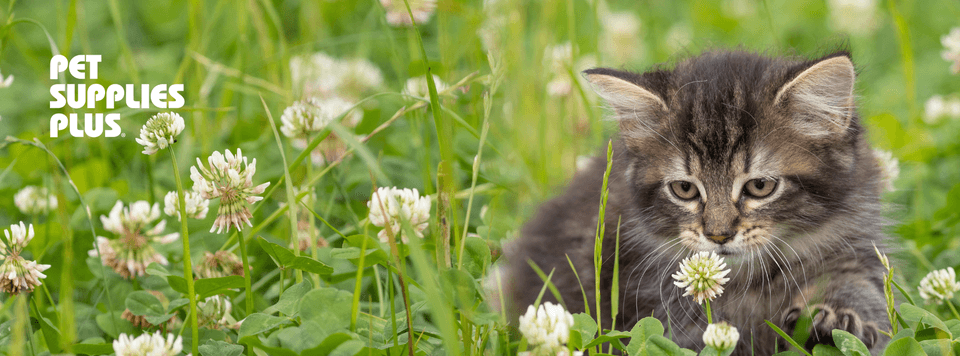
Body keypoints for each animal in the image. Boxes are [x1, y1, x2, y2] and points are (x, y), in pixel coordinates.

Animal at [502, 49, 892, 354]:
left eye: (760, 186)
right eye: (684, 190)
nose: (718, 235)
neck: (752, 277)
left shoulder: (851, 247)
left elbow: (860, 292)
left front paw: (835, 318)